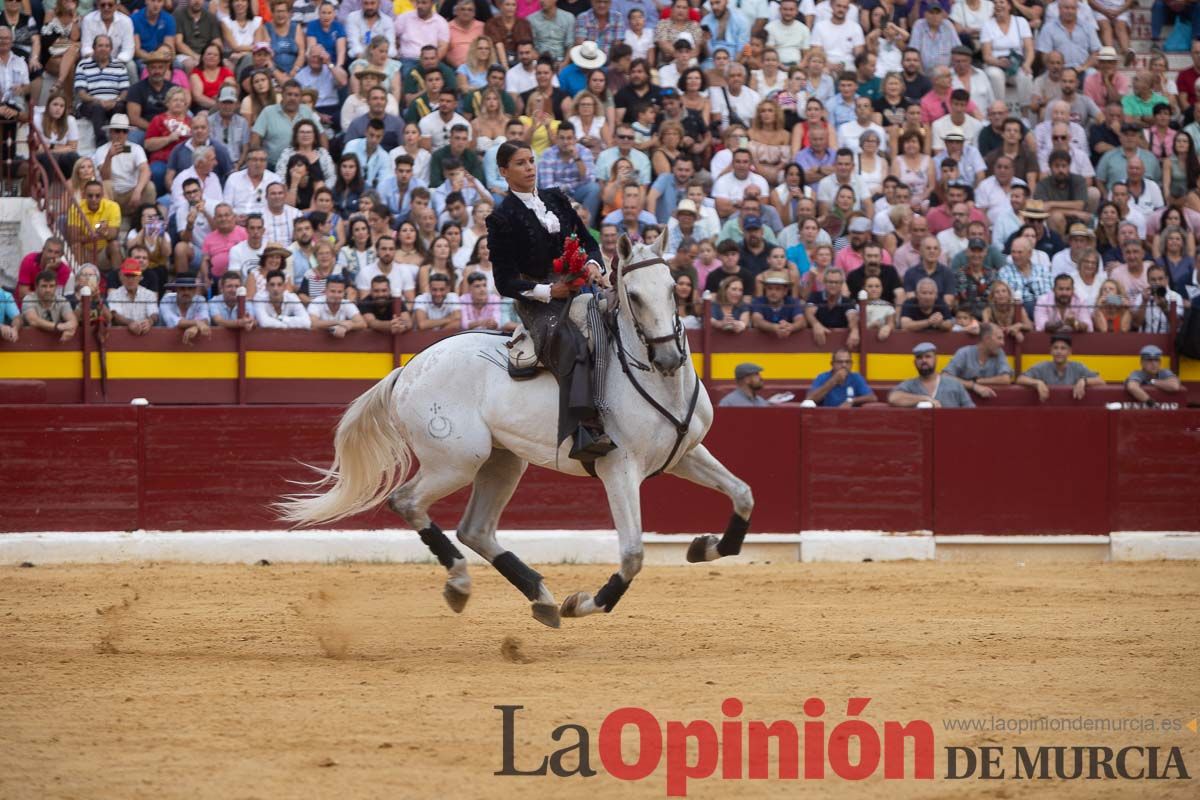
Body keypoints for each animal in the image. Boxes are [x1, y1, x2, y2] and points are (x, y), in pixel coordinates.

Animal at [276, 235, 753, 628]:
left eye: (673, 288)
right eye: (633, 295)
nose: (669, 358)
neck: (659, 383)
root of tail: (408, 370)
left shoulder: (684, 453)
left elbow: (743, 494)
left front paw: (703, 547)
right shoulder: (619, 469)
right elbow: (634, 554)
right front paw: (583, 603)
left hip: (503, 461)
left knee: (475, 529)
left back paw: (540, 597)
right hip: (455, 462)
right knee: (408, 502)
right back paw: (463, 584)